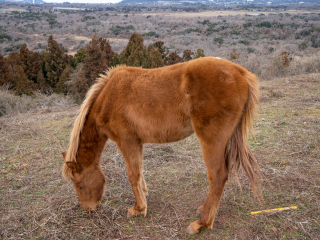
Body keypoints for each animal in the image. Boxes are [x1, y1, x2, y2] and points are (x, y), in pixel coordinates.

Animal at [60, 56, 262, 234]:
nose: (89, 209)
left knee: (218, 176)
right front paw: (144, 196)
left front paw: (138, 209)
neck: (108, 98)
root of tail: (241, 73)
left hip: (212, 140)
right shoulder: (137, 142)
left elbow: (132, 174)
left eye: (80, 185)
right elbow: (140, 171)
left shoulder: (126, 141)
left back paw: (201, 224)